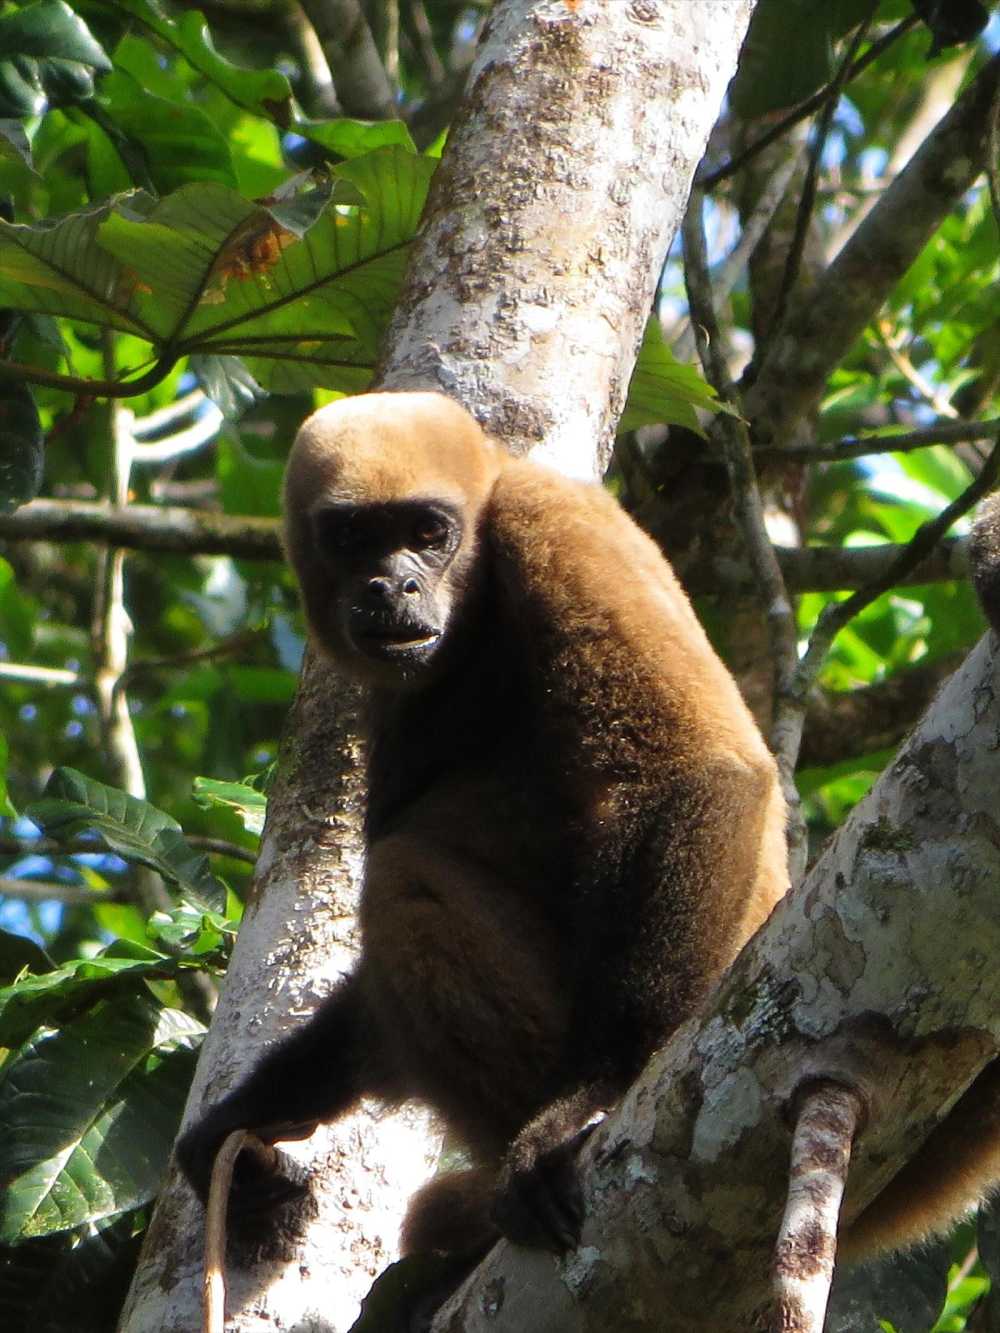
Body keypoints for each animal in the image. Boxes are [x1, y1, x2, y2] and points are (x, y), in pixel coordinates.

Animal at [177, 389, 790, 1260]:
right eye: (353, 537)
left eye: (428, 533)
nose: (392, 586)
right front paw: (234, 1134)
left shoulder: (551, 526)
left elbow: (701, 768)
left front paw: (601, 1089)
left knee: (404, 879)